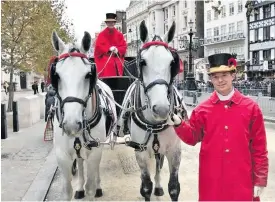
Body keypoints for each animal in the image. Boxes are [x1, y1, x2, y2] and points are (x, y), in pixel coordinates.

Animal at [51, 30, 117, 200]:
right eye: (57, 75)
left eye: (88, 75)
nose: (71, 124)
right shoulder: (62, 155)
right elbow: (67, 190)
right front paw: (78, 188)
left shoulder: (95, 151)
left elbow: (90, 187)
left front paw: (94, 188)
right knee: (80, 163)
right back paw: (79, 187)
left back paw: (98, 186)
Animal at [118, 20, 188, 200]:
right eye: (142, 62)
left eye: (172, 63)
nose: (161, 108)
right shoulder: (141, 152)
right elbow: (146, 186)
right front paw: (149, 188)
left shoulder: (174, 150)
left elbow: (174, 187)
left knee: (158, 164)